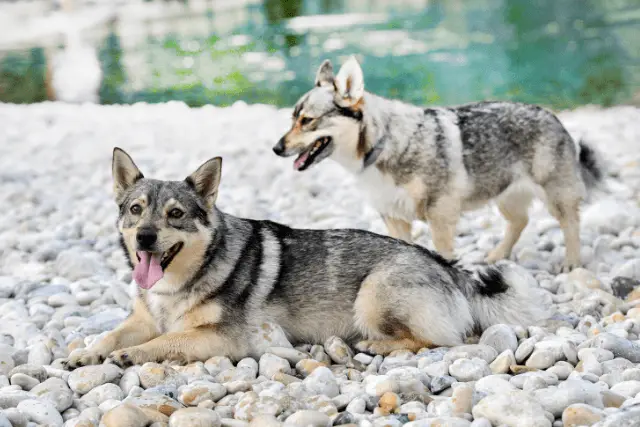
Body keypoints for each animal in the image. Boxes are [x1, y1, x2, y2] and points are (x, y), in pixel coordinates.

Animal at [63, 149, 544, 370]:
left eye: (175, 214)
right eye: (136, 209)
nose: (145, 238)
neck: (177, 284)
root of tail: (447, 267)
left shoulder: (220, 339)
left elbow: (164, 342)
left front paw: (131, 355)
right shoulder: (142, 319)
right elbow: (110, 335)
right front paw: (88, 352)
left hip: (373, 295)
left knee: (440, 341)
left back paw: (375, 345)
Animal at [272, 55, 604, 272]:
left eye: (307, 121)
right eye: (292, 119)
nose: (276, 148)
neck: (383, 144)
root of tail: (553, 115)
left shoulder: (440, 215)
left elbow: (443, 252)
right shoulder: (393, 217)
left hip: (555, 196)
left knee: (571, 224)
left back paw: (572, 262)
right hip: (504, 195)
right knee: (520, 222)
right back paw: (497, 255)